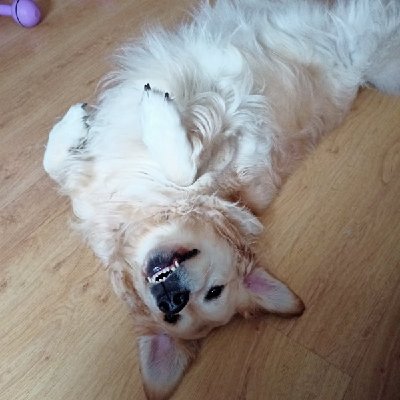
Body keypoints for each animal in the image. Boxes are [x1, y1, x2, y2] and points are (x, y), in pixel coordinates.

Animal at [43, 0, 400, 398]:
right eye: (172, 317)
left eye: (214, 292)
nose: (171, 298)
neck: (144, 209)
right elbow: (55, 166)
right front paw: (82, 123)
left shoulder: (239, 160)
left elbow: (179, 169)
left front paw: (138, 114)